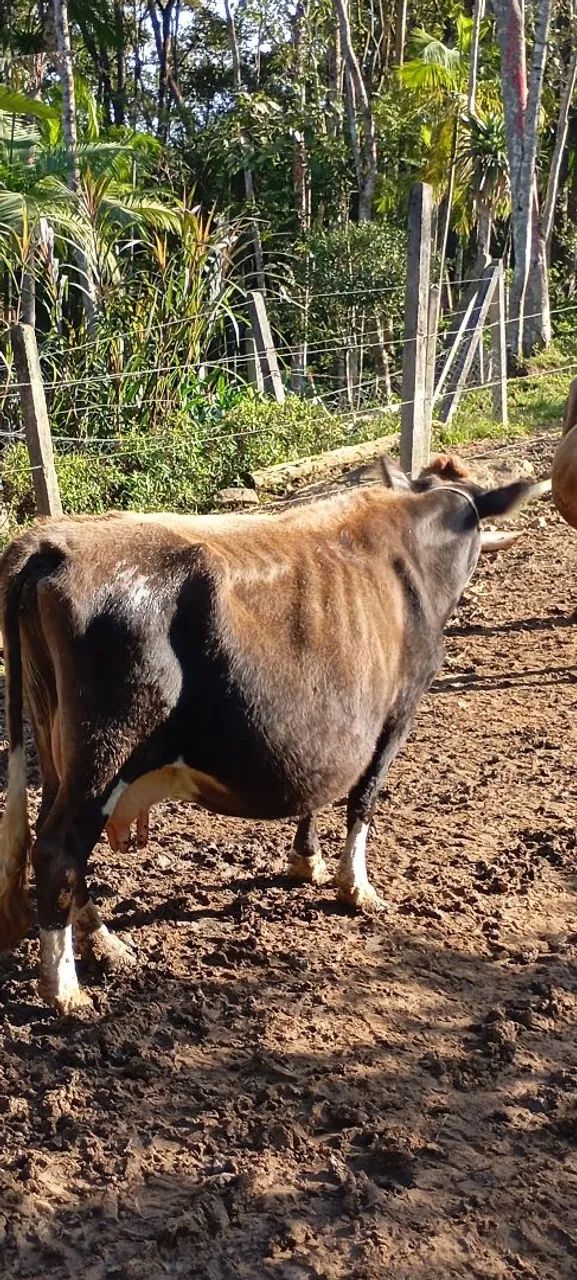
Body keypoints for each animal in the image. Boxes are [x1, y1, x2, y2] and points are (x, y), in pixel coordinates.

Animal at [0, 454, 547, 1014]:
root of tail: (52, 541)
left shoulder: (324, 728)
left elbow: (318, 789)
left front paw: (307, 861)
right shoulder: (399, 711)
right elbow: (363, 797)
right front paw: (357, 888)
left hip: (55, 740)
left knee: (50, 836)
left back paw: (104, 944)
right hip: (108, 749)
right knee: (59, 850)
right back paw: (66, 988)